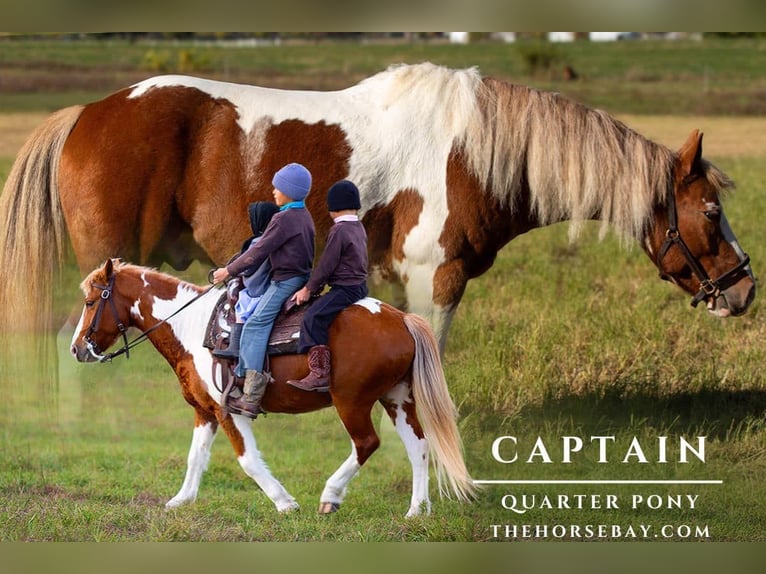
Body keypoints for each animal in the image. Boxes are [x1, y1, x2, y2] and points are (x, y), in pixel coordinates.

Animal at [68, 258, 474, 516]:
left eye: (90, 301)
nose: (76, 349)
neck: (193, 329)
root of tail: (403, 319)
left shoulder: (229, 410)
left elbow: (248, 460)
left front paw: (285, 503)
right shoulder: (205, 411)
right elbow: (195, 456)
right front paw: (181, 500)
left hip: (352, 401)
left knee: (366, 444)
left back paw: (330, 495)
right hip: (397, 398)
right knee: (418, 447)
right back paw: (417, 510)